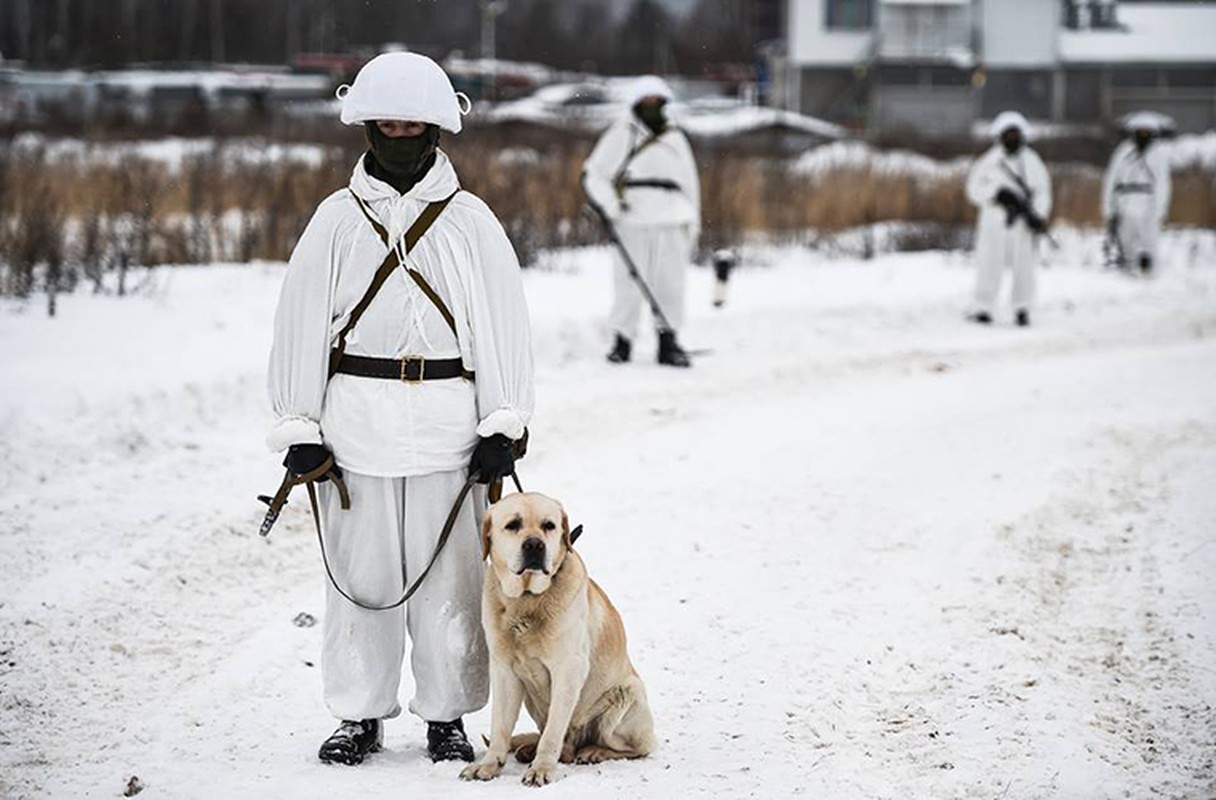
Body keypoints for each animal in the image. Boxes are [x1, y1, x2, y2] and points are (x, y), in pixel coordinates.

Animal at [459, 488, 656, 782]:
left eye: (549, 525)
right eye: (513, 525)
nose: (534, 545)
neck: (527, 600)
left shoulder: (568, 670)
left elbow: (553, 732)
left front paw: (541, 769)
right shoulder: (504, 671)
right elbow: (500, 728)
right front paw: (489, 765)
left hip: (626, 695)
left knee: (634, 747)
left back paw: (593, 752)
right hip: (531, 699)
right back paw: (529, 749)